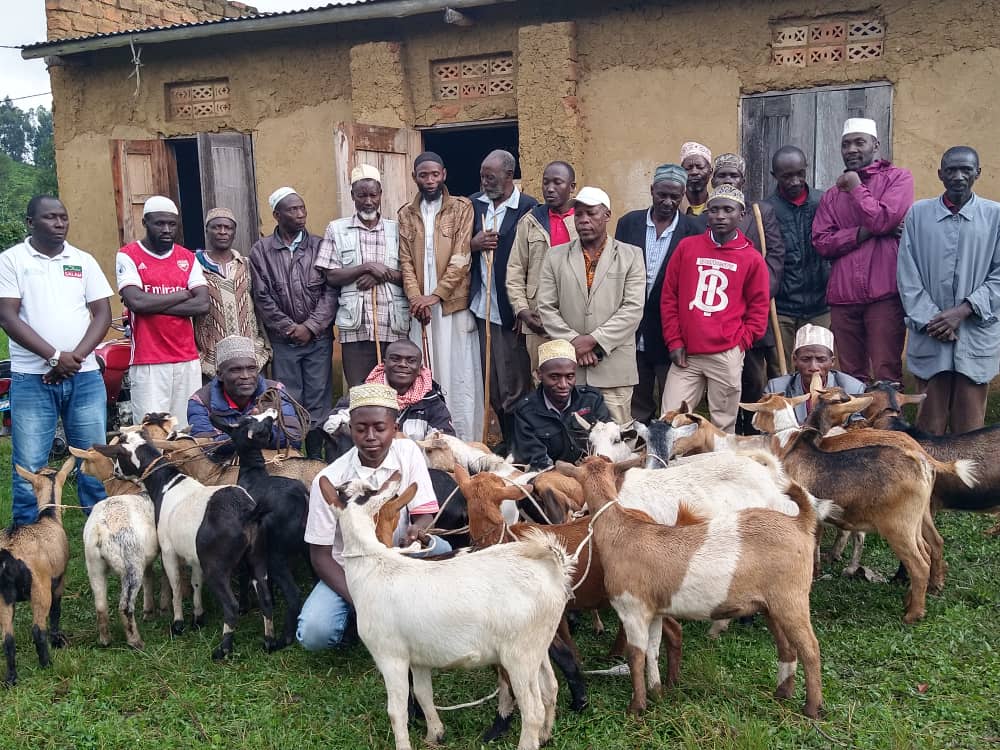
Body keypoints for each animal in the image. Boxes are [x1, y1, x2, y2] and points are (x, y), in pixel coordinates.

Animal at [1, 459, 73, 687]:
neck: (48, 517)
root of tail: (8, 554)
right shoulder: (58, 579)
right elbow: (56, 610)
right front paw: (57, 640)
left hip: (3, 596)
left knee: (7, 638)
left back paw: (11, 678)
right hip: (39, 587)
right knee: (37, 629)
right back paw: (46, 664)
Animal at [93, 430, 276, 659]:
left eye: (119, 454)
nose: (116, 472)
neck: (168, 484)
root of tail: (246, 513)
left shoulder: (169, 551)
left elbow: (176, 585)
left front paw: (178, 624)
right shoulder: (195, 557)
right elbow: (196, 583)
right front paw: (198, 618)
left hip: (216, 567)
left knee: (231, 605)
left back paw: (223, 649)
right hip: (257, 557)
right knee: (266, 598)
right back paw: (269, 642)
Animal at [210, 409, 310, 651]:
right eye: (258, 421)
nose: (273, 411)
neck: (253, 473)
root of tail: (302, 497)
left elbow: (244, 576)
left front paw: (244, 606)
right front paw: (270, 598)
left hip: (277, 555)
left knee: (294, 594)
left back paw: (283, 640)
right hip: (309, 549)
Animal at [319, 471, 574, 750]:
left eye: (363, 491)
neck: (374, 565)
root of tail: (552, 567)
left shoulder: (390, 655)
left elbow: (396, 711)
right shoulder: (418, 658)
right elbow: (423, 694)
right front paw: (435, 735)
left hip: (519, 655)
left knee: (533, 710)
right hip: (538, 644)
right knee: (550, 687)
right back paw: (545, 736)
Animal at [558, 455, 826, 718]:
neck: (621, 531)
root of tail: (800, 522)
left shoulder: (632, 608)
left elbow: (636, 655)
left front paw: (636, 707)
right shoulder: (654, 611)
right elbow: (653, 650)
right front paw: (657, 692)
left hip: (791, 598)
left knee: (810, 648)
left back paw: (812, 708)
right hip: (769, 604)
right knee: (787, 646)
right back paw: (782, 693)